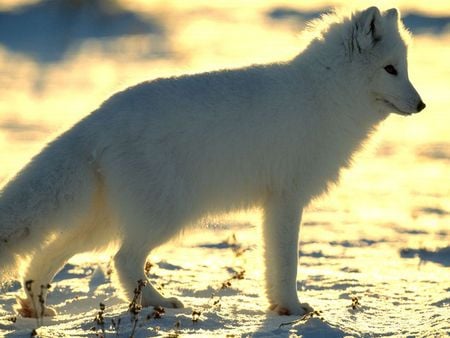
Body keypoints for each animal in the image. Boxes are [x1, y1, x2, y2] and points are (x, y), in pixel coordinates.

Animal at [0, 5, 424, 316]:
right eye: (390, 69)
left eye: (404, 69)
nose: (421, 105)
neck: (324, 95)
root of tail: (99, 116)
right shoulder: (287, 199)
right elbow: (286, 263)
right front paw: (292, 309)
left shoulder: (273, 204)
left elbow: (273, 263)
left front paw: (279, 307)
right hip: (166, 214)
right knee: (122, 260)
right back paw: (158, 303)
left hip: (103, 222)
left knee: (45, 257)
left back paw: (37, 309)